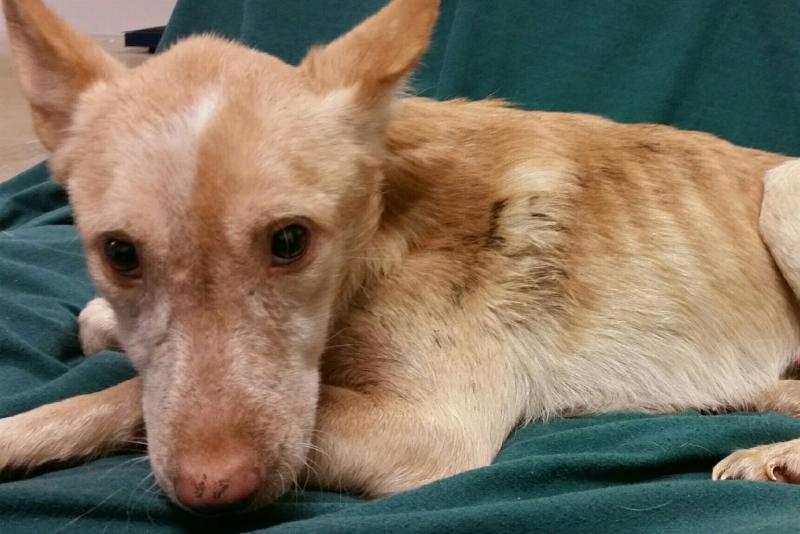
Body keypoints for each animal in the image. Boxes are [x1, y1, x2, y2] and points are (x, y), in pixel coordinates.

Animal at [3, 0, 800, 515]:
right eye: (120, 254)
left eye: (290, 241)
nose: (213, 493)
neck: (381, 233)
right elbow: (106, 340)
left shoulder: (436, 431)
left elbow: (127, 397)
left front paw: (24, 432)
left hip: (781, 195)